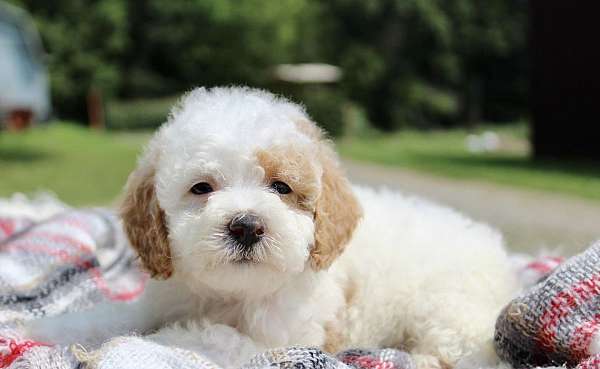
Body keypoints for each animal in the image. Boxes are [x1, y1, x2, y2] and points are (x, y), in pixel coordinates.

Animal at [25, 87, 516, 368]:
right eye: (202, 188)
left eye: (281, 187)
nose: (246, 226)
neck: (233, 293)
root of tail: (497, 253)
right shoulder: (161, 298)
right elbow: (110, 315)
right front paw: (41, 329)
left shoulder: (284, 337)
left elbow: (206, 337)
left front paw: (138, 346)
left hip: (445, 310)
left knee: (472, 356)